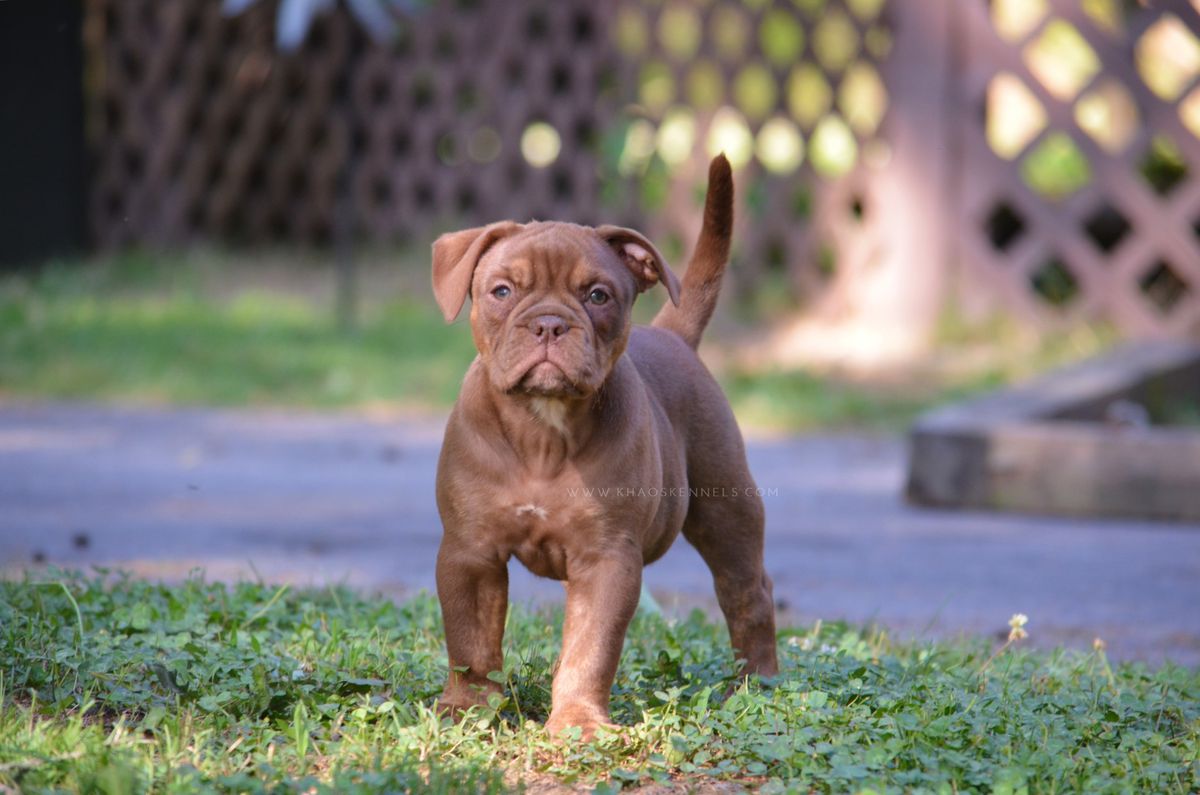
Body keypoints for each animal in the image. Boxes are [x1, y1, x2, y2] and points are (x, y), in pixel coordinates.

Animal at [432, 156, 777, 739]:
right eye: (501, 291)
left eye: (597, 295)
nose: (549, 323)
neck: (542, 432)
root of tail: (674, 336)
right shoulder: (469, 553)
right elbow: (471, 641)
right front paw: (469, 708)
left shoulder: (606, 559)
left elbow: (590, 649)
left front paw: (577, 723)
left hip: (727, 512)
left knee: (748, 594)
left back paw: (759, 686)